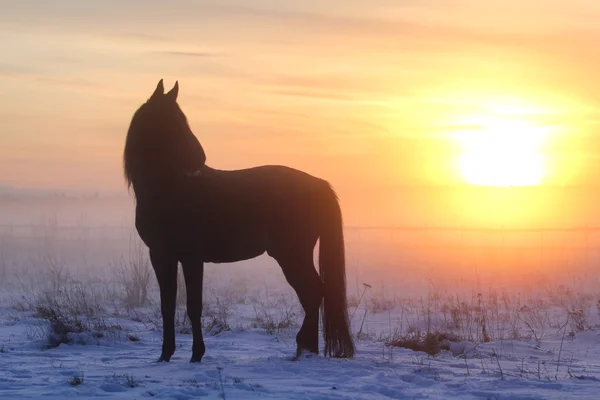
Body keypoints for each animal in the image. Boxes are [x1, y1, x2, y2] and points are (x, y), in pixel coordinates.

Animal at [123, 79, 354, 360]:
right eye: (171, 122)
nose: (200, 159)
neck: (169, 190)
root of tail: (320, 185)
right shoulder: (160, 255)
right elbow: (167, 305)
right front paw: (165, 355)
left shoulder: (191, 257)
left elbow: (194, 305)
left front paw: (197, 354)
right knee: (313, 293)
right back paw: (307, 349)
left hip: (292, 254)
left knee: (312, 293)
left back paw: (302, 348)